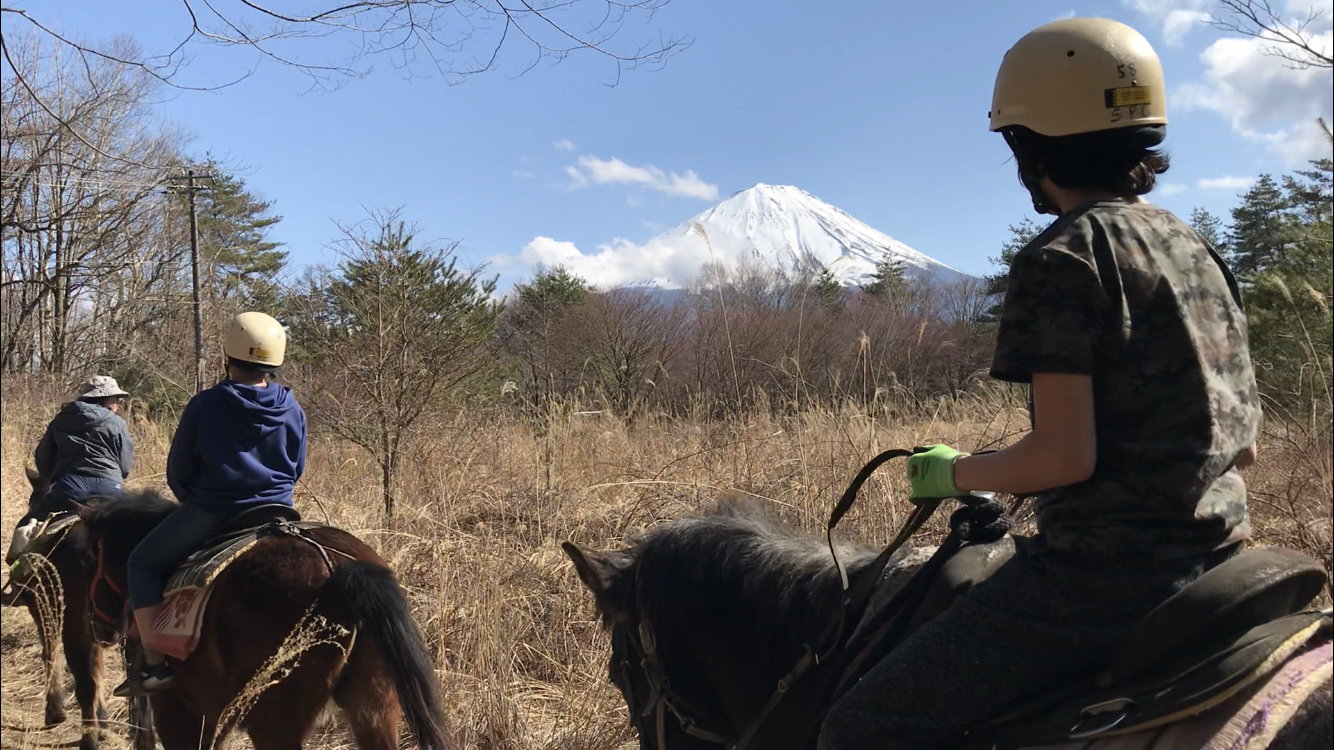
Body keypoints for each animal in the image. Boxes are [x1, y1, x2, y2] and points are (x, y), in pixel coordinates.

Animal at [68, 488, 452, 750]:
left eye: (88, 559)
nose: (98, 627)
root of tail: (340, 567)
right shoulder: (215, 713)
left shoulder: (178, 713)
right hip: (374, 707)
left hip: (274, 720)